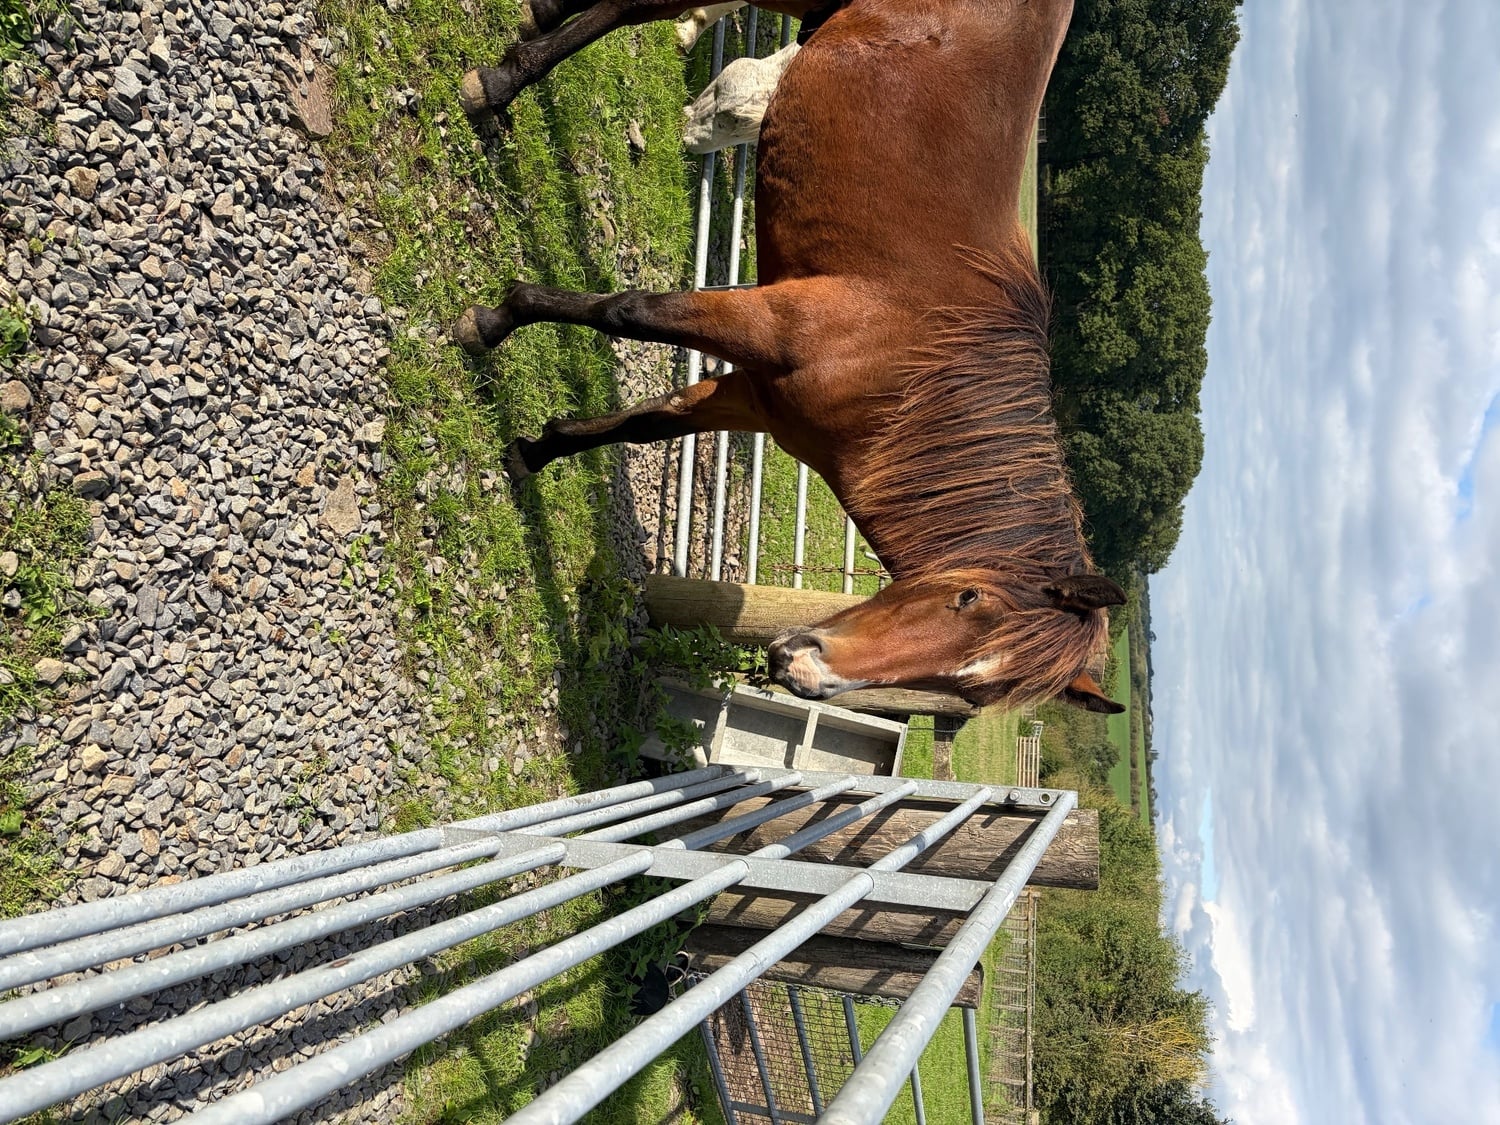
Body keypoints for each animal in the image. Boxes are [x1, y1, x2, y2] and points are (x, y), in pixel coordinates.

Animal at [453, 0, 1127, 714]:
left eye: (971, 692)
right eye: (965, 597)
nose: (800, 668)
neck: (905, 365)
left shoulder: (756, 399)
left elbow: (650, 421)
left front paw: (534, 450)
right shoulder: (768, 324)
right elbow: (626, 312)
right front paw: (493, 320)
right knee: (640, 7)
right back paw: (496, 86)